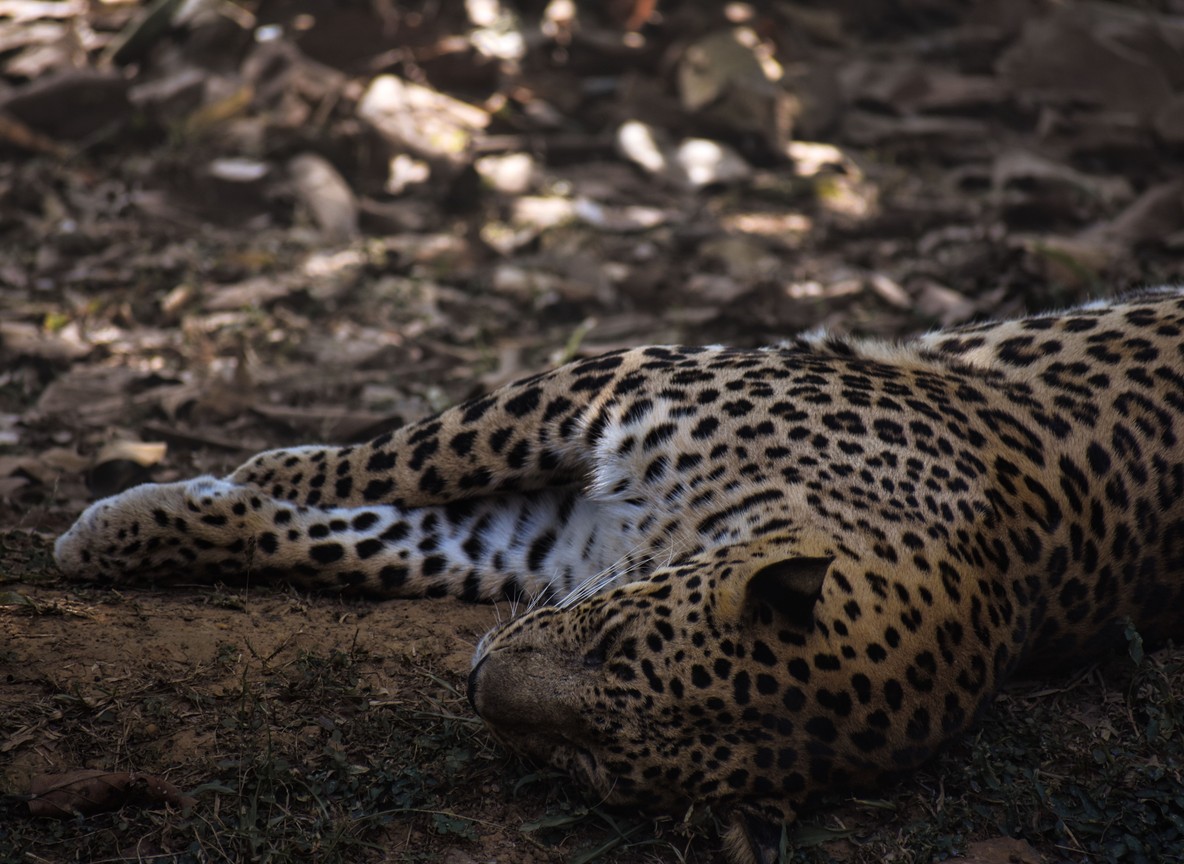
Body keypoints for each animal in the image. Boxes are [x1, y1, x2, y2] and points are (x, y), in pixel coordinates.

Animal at [55, 288, 1184, 864]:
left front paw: (144, 521)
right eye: (609, 645)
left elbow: (362, 537)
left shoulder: (536, 539)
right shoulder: (607, 382)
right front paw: (151, 514)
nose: (475, 689)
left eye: (596, 767)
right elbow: (394, 463)